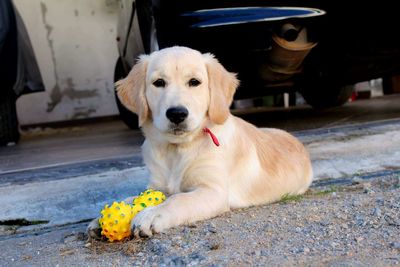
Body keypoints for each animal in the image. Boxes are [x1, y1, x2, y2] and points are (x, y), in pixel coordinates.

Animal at [87, 46, 312, 239]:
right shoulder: (156, 185)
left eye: (194, 82)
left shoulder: (213, 191)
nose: (177, 114)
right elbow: (132, 198)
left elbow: (179, 199)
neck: (177, 149)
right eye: (158, 82)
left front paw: (152, 214)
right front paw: (99, 219)